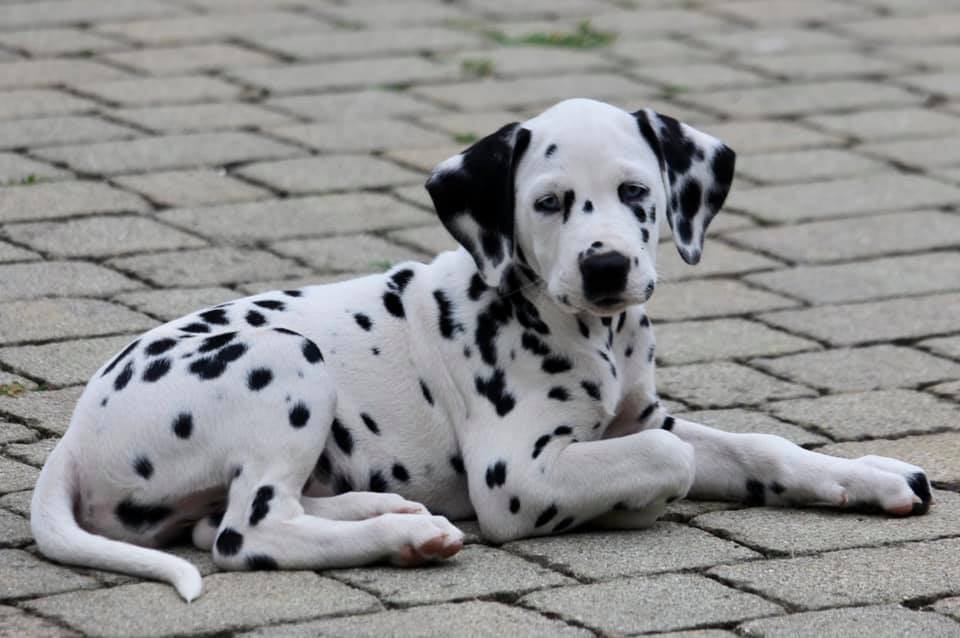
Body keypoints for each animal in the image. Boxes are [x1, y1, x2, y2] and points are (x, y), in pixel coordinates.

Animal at [31, 97, 928, 604]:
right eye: (551, 202)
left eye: (637, 191)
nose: (607, 266)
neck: (592, 335)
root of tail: (74, 436)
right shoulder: (520, 477)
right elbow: (667, 465)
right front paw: (634, 504)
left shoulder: (643, 418)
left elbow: (756, 446)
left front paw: (868, 477)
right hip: (287, 360)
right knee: (243, 533)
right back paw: (401, 538)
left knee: (221, 520)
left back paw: (391, 510)